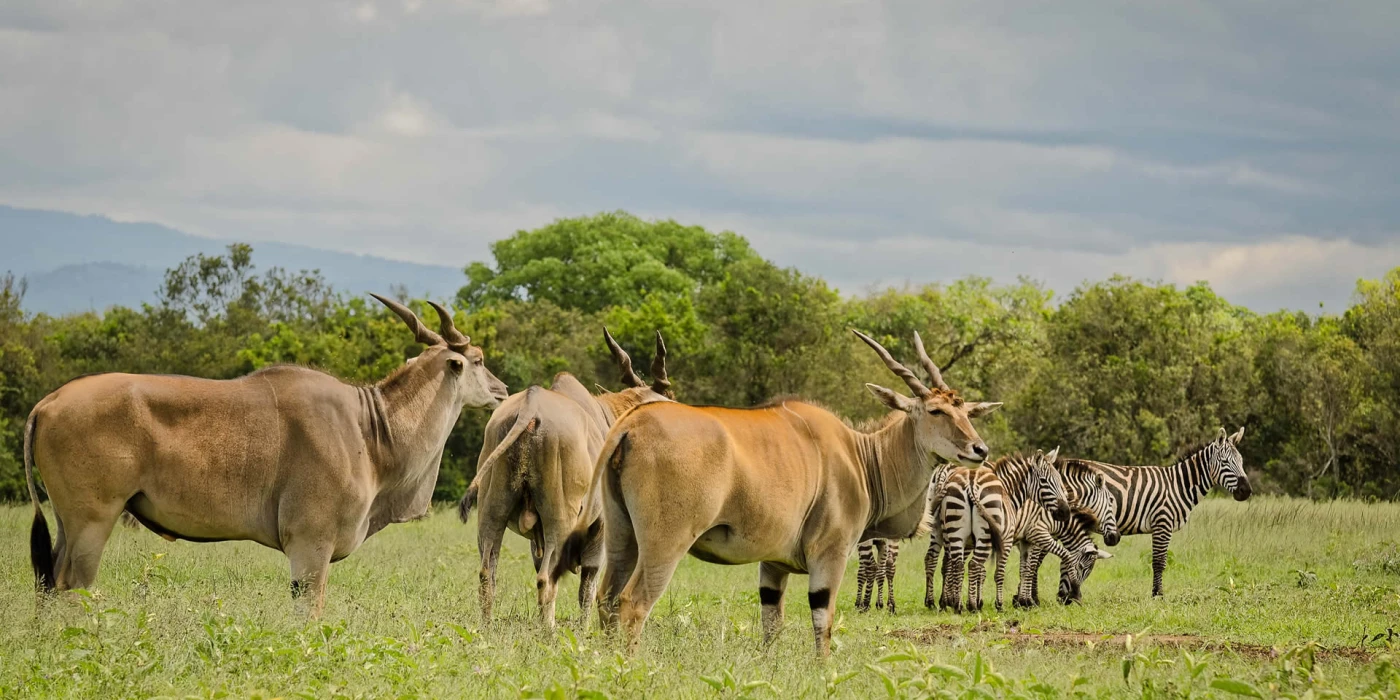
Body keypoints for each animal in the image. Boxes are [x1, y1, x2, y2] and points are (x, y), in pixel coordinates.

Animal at [24, 292, 506, 616]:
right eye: (479, 360)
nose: (502, 391)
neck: (370, 430)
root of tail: (46, 404)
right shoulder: (310, 548)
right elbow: (310, 615)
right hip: (93, 520)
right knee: (70, 584)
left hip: (69, 523)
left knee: (48, 580)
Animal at [596, 330, 1002, 652]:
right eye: (936, 411)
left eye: (967, 412)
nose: (980, 449)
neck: (862, 456)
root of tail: (630, 425)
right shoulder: (830, 553)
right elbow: (823, 622)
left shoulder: (773, 564)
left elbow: (771, 625)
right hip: (665, 543)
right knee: (632, 603)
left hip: (621, 537)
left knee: (605, 599)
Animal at [935, 450, 1064, 616]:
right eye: (1044, 481)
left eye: (1059, 480)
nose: (1065, 511)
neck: (1008, 491)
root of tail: (971, 481)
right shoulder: (1006, 539)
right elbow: (998, 573)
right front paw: (998, 605)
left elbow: (982, 571)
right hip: (983, 535)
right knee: (972, 564)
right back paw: (970, 607)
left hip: (954, 530)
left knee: (957, 564)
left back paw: (956, 606)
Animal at [1013, 459, 1120, 607]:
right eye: (1111, 500)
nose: (1116, 538)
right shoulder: (1037, 534)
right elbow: (1033, 565)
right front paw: (1029, 600)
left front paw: (1022, 598)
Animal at [1064, 425, 1254, 596]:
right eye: (1225, 462)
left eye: (1242, 462)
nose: (1246, 491)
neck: (1179, 485)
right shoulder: (1163, 523)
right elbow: (1159, 562)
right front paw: (1158, 594)